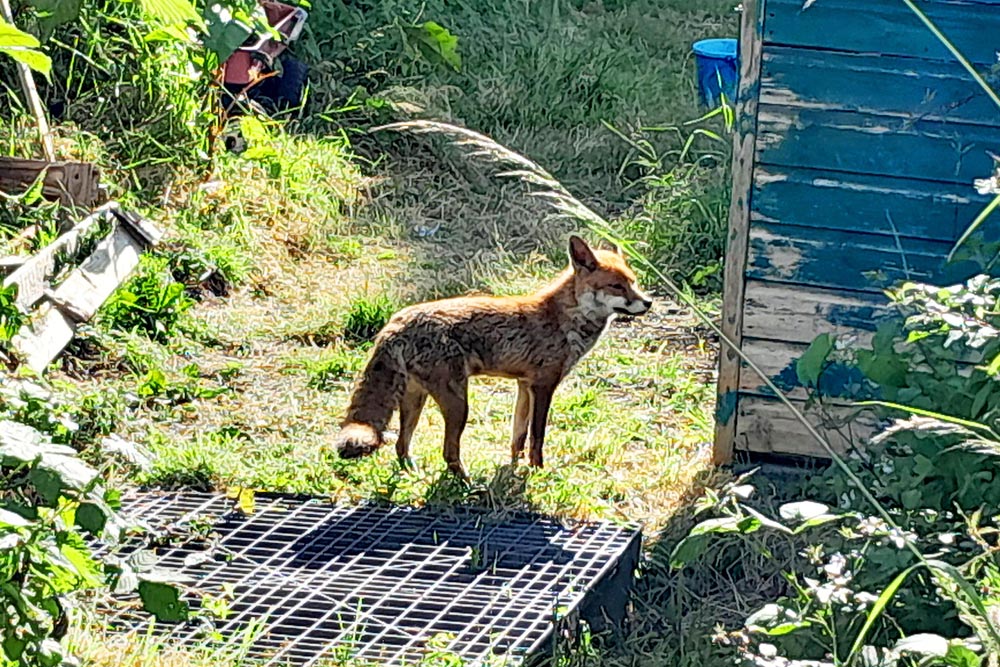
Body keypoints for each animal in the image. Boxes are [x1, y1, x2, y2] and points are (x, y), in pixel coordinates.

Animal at [332, 235, 653, 479]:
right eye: (617, 286)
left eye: (634, 282)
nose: (648, 303)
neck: (564, 320)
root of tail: (396, 322)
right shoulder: (544, 386)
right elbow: (537, 437)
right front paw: (537, 473)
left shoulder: (524, 386)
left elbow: (518, 437)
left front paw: (513, 470)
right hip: (458, 405)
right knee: (448, 452)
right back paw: (467, 484)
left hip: (415, 400)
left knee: (401, 446)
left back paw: (414, 474)